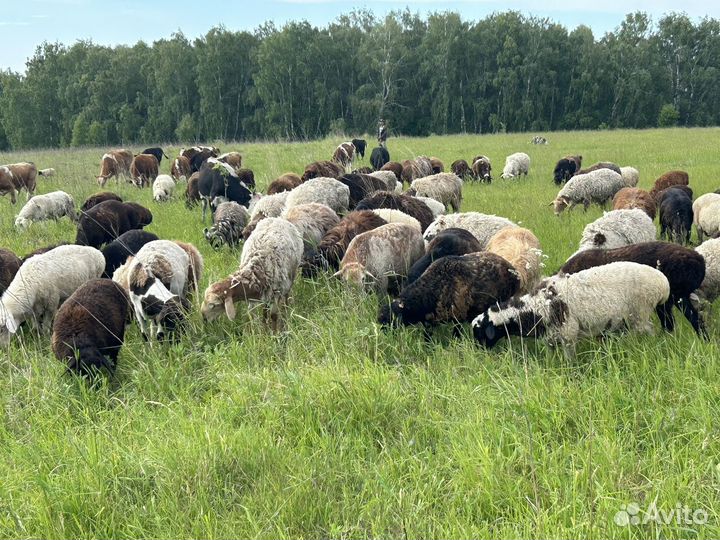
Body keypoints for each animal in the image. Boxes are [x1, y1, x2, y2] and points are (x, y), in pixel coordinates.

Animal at [472, 262, 671, 357]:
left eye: (480, 333)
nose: (480, 353)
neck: (532, 309)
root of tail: (663, 282)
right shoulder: (550, 338)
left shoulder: (568, 333)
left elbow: (569, 359)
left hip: (640, 311)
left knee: (648, 330)